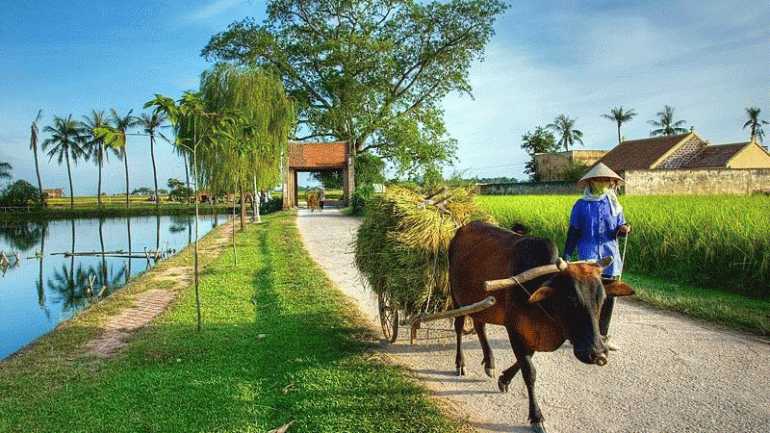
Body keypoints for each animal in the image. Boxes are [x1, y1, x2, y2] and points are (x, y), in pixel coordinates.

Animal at [448, 223, 632, 432]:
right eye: (571, 299)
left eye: (601, 299)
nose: (598, 354)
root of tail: (463, 228)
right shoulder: (514, 330)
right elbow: (529, 372)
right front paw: (536, 417)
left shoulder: (533, 335)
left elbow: (524, 361)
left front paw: (504, 379)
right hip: (457, 298)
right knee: (459, 326)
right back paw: (460, 363)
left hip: (482, 304)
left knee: (480, 326)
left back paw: (490, 363)